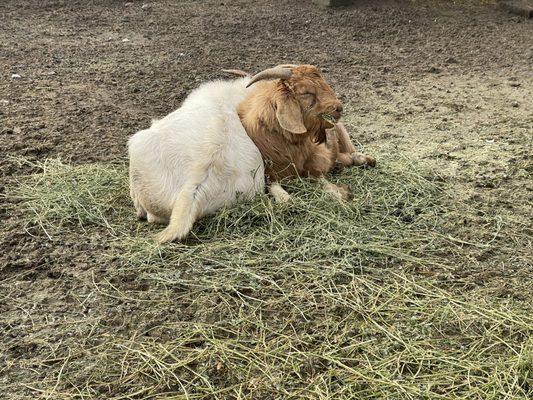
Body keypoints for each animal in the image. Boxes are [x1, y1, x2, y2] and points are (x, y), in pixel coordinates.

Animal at [235, 66, 376, 203]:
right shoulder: (269, 169)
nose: (339, 108)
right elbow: (283, 198)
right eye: (306, 93)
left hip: (341, 131)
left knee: (350, 152)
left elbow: (318, 176)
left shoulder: (317, 156)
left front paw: (343, 193)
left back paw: (367, 160)